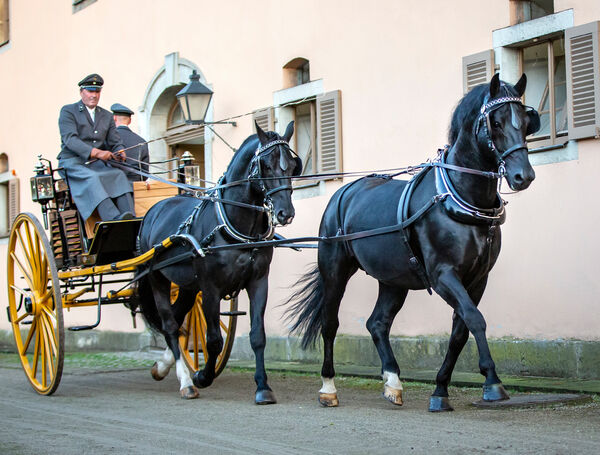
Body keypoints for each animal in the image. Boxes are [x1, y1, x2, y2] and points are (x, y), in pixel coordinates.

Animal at [139, 121, 302, 402]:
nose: (285, 213)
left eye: (293, 165)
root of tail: (155, 210)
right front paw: (203, 376)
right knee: (169, 324)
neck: (234, 224)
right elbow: (214, 339)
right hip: (157, 277)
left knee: (179, 319)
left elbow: (258, 336)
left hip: (187, 286)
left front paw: (262, 386)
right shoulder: (210, 288)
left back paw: (162, 366)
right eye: (265, 165)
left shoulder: (258, 282)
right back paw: (186, 381)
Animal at [284, 73, 540, 412]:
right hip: (335, 271)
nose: (523, 176)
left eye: (525, 121)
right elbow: (475, 319)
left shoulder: (477, 279)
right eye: (495, 122)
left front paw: (440, 391)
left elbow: (460, 331)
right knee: (330, 324)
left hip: (394, 279)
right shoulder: (443, 275)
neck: (459, 197)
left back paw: (393, 381)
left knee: (377, 323)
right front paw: (492, 381)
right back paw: (328, 388)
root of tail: (343, 192)